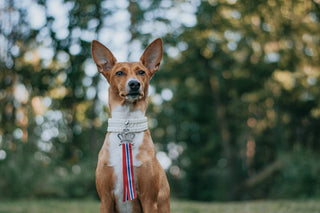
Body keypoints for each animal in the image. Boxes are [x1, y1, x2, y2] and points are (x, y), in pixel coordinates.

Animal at [92, 38, 170, 213]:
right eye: (119, 73)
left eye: (141, 72)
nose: (134, 84)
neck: (126, 123)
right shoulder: (105, 199)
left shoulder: (149, 200)